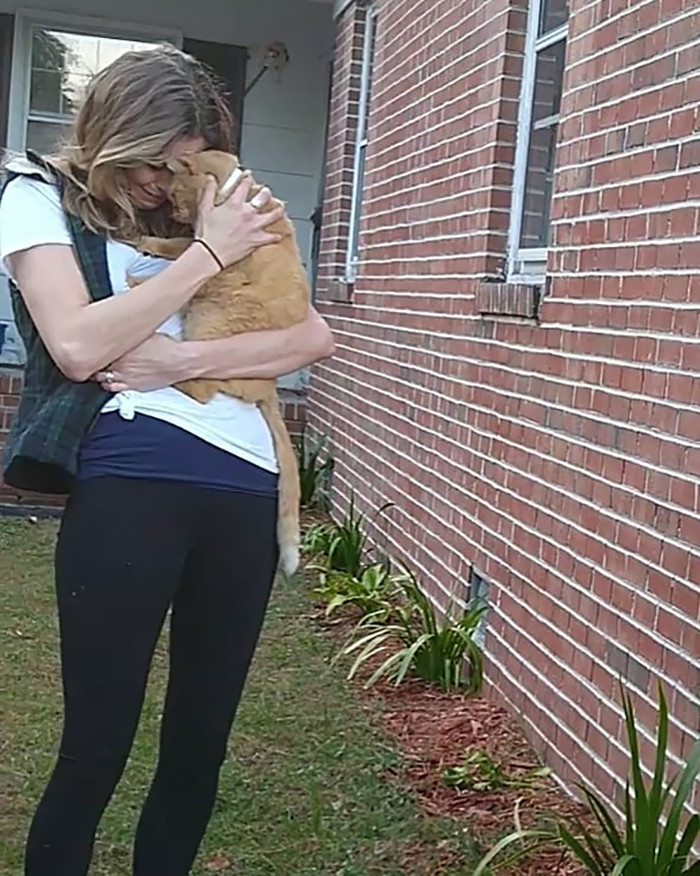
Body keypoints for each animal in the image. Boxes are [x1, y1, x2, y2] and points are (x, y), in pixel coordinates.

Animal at [134, 151, 308, 576]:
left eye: (173, 193)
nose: (175, 211)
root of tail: (270, 390)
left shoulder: (209, 262)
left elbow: (179, 257)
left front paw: (142, 262)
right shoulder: (199, 241)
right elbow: (181, 244)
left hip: (209, 321)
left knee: (197, 384)